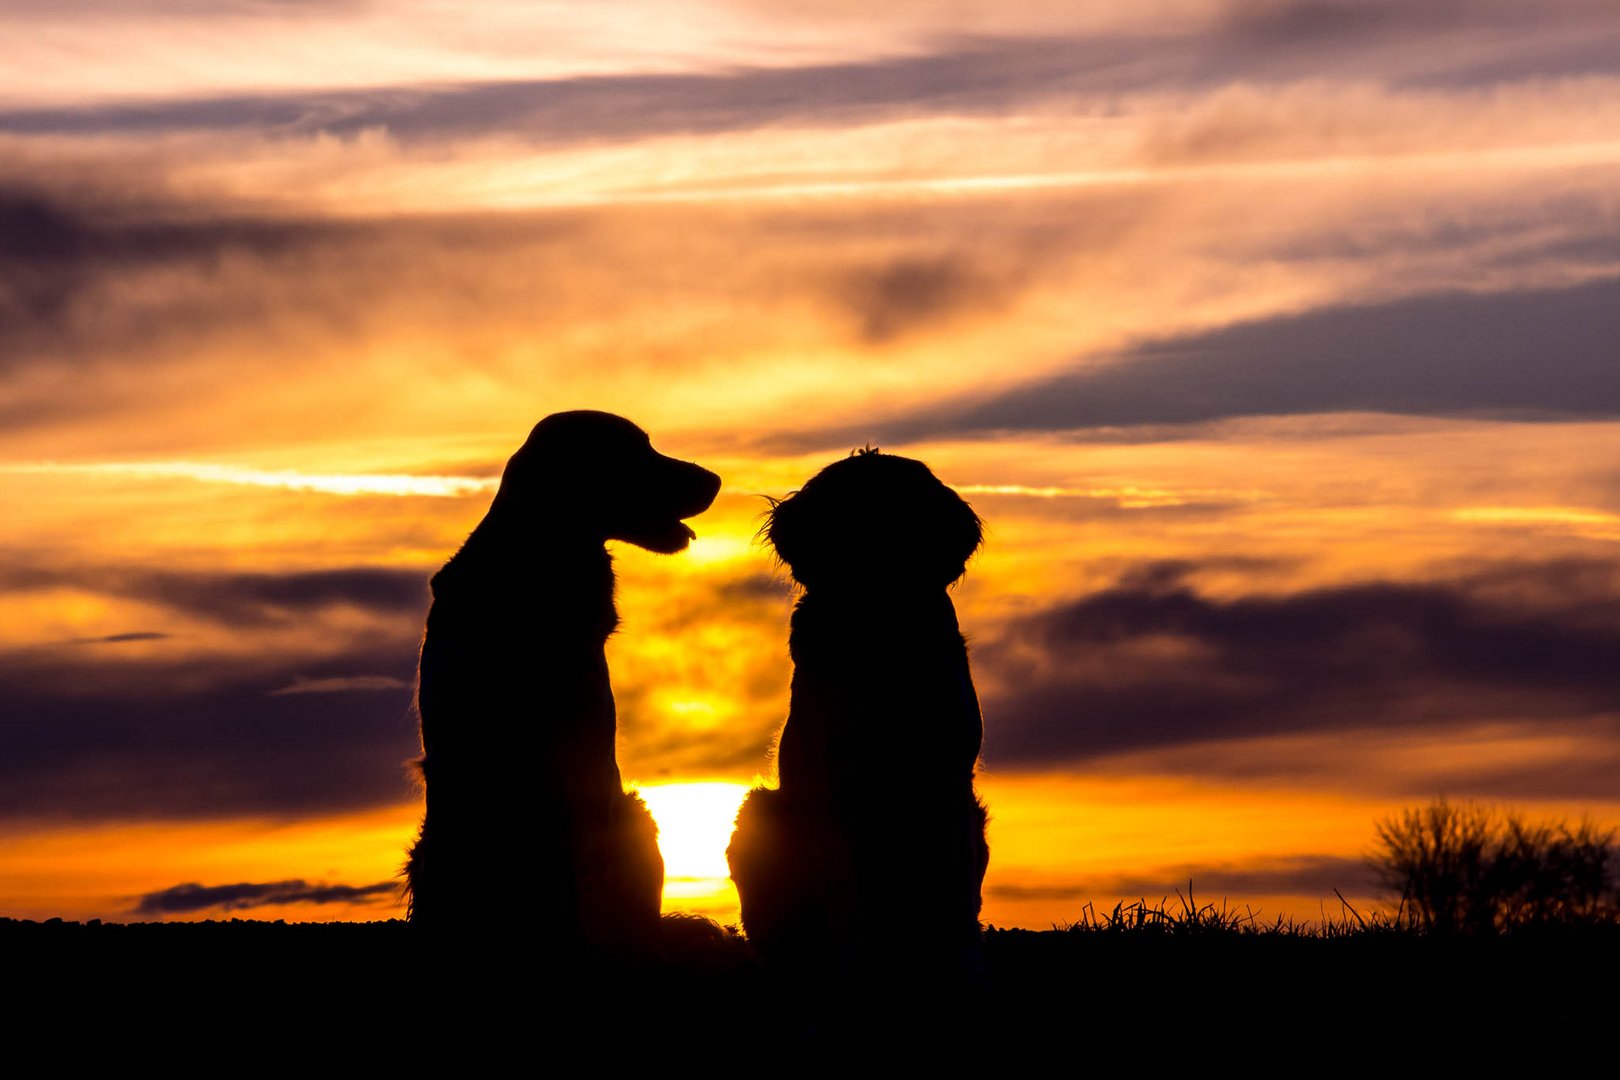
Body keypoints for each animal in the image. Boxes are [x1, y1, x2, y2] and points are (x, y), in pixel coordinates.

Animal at [732, 446, 984, 977]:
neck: (876, 630)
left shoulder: (947, 775)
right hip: (759, 808)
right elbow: (844, 883)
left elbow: (952, 881)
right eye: (845, 515)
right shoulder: (827, 782)